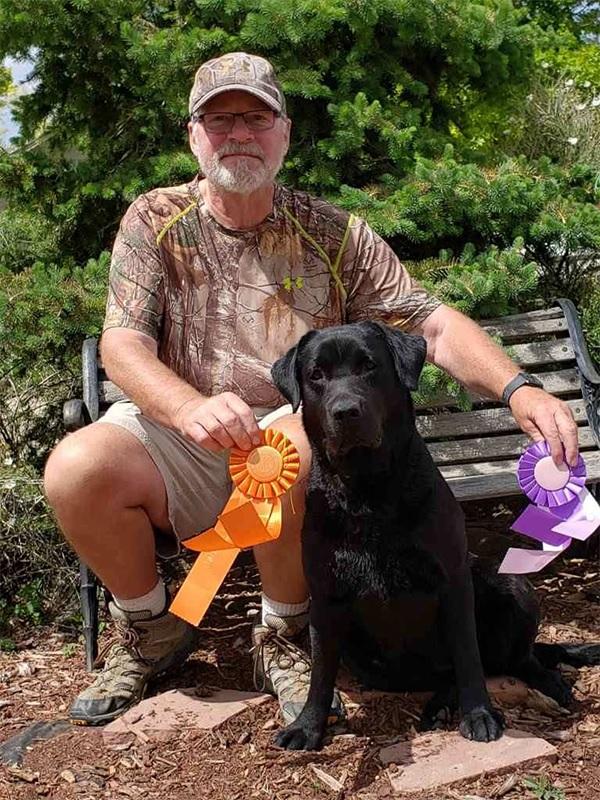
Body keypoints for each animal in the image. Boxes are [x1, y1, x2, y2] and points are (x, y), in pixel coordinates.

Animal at [272, 320, 580, 752]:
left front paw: (479, 714)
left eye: (369, 366)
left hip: (512, 583)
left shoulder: (452, 580)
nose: (346, 411)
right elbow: (320, 670)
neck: (369, 492)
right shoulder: (325, 594)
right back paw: (438, 705)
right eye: (316, 375)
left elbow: (468, 655)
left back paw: (544, 683)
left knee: (514, 659)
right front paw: (308, 725)